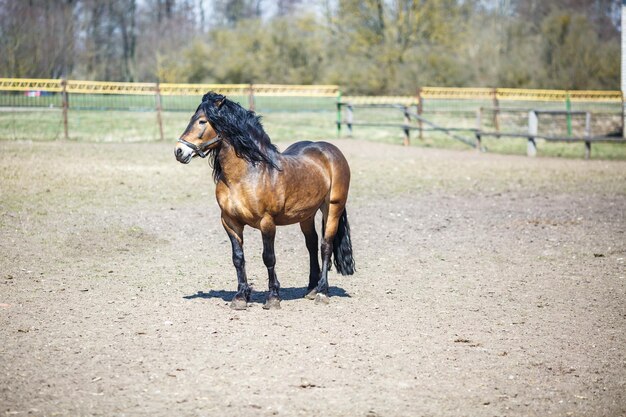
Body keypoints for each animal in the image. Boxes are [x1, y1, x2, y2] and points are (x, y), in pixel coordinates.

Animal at [173, 92, 354, 308]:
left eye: (202, 121)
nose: (179, 151)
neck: (246, 175)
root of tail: (330, 151)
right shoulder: (230, 222)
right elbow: (238, 258)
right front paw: (240, 297)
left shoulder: (266, 222)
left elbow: (269, 258)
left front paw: (273, 297)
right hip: (306, 215)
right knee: (311, 244)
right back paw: (311, 288)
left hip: (333, 207)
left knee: (325, 246)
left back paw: (322, 292)